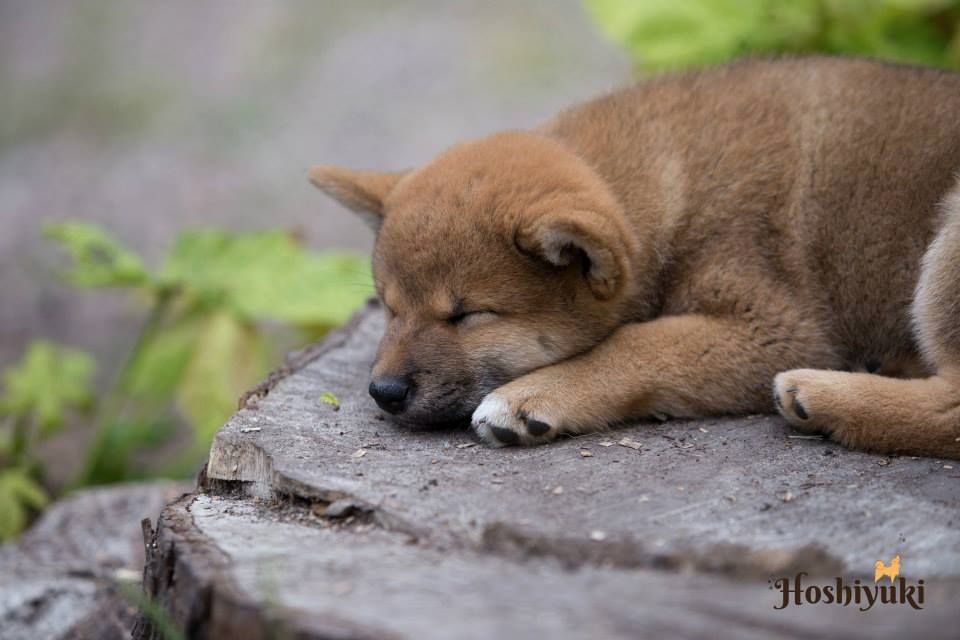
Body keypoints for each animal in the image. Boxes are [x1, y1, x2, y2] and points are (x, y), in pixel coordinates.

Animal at [308, 53, 960, 456]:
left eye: (468, 315)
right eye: (390, 309)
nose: (384, 392)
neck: (680, 183)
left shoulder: (778, 326)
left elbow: (635, 344)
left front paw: (533, 395)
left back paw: (822, 396)